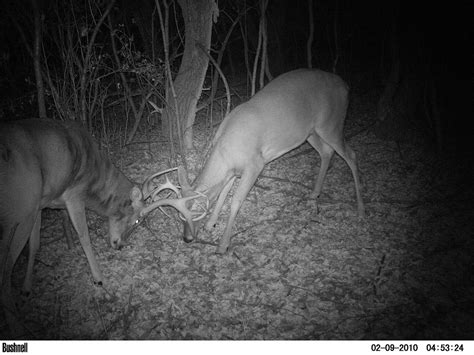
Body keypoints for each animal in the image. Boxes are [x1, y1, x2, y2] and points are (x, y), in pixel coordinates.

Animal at [144, 68, 366, 254]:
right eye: (180, 216)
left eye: (197, 212)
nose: (187, 238)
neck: (226, 150)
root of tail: (345, 86)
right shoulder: (233, 171)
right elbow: (222, 194)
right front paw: (211, 224)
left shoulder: (255, 163)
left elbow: (235, 200)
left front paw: (223, 245)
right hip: (310, 132)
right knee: (326, 152)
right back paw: (314, 194)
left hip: (331, 123)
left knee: (351, 154)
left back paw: (361, 208)